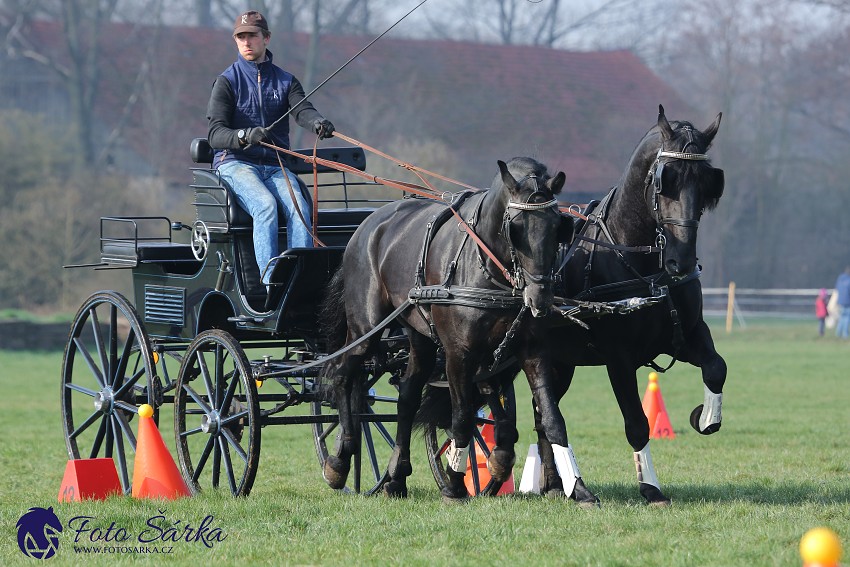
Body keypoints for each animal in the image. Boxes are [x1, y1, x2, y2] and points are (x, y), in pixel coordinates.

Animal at [322, 156, 572, 502]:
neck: (488, 267)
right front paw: (455, 484)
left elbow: (550, 416)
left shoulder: (529, 350)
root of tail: (369, 223)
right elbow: (462, 418)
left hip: (420, 338)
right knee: (344, 377)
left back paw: (396, 478)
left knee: (408, 397)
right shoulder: (458, 354)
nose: (540, 298)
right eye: (516, 229)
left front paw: (578, 491)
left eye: (558, 226)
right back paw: (340, 460)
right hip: (365, 329)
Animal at [528, 106, 724, 506]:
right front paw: (650, 487)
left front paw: (706, 417)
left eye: (706, 184)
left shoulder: (686, 335)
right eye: (666, 180)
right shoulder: (618, 357)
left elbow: (716, 368)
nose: (681, 261)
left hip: (561, 363)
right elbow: (636, 421)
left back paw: (555, 484)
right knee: (545, 415)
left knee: (543, 417)